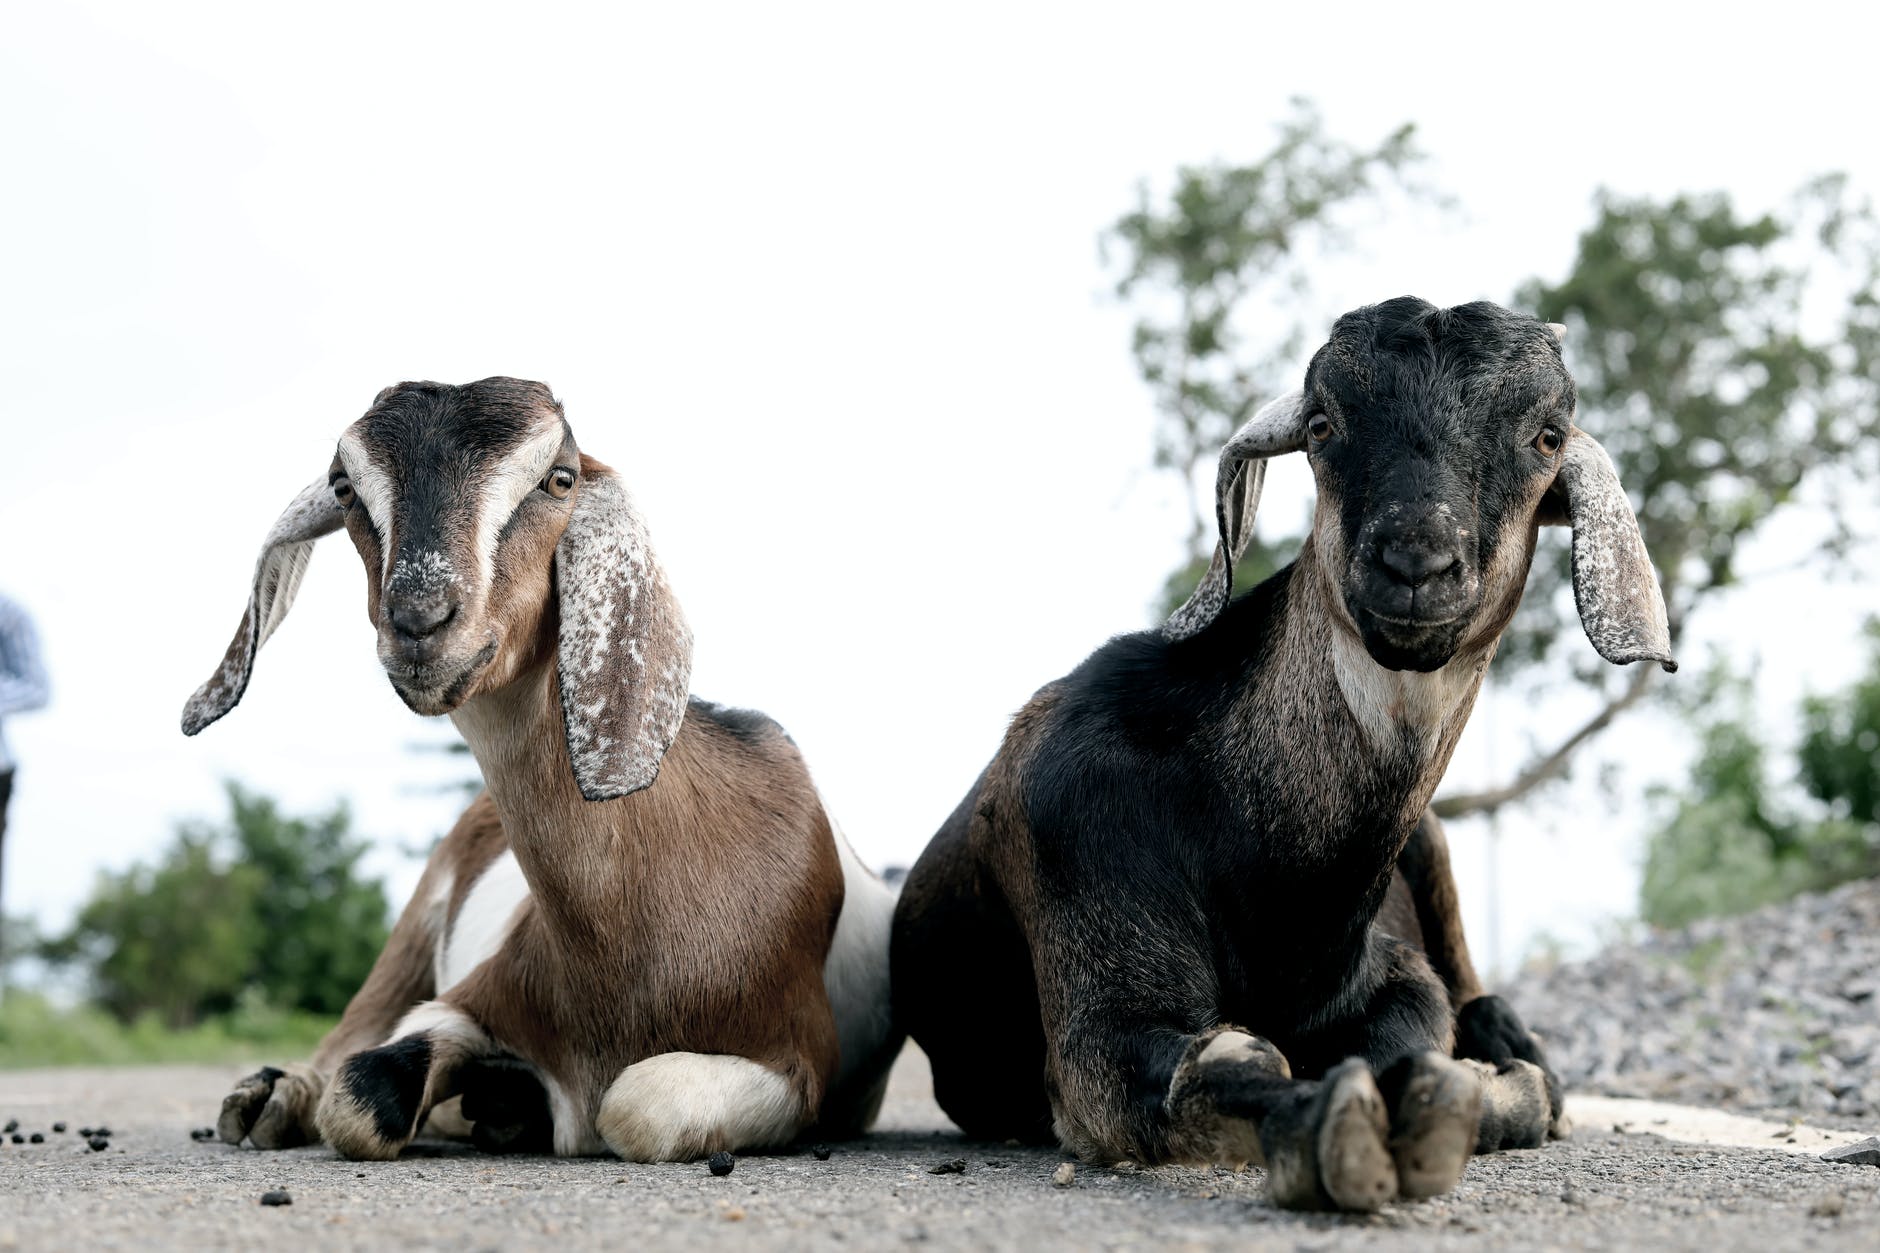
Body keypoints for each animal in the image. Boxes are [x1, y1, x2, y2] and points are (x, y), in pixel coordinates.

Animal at [183, 377, 900, 1160]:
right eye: (344, 487)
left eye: (559, 478)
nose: (421, 621)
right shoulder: (471, 995)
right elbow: (360, 1092)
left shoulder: (802, 1057)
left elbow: (639, 1104)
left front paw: (509, 1099)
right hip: (412, 929)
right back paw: (274, 1097)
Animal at [890, 298, 1674, 1211]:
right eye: (1325, 424)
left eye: (1548, 434)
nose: (1416, 562)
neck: (1286, 891)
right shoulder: (1091, 930)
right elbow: (1211, 1063)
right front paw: (1336, 1130)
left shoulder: (1390, 972)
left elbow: (1416, 1029)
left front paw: (1479, 1090)